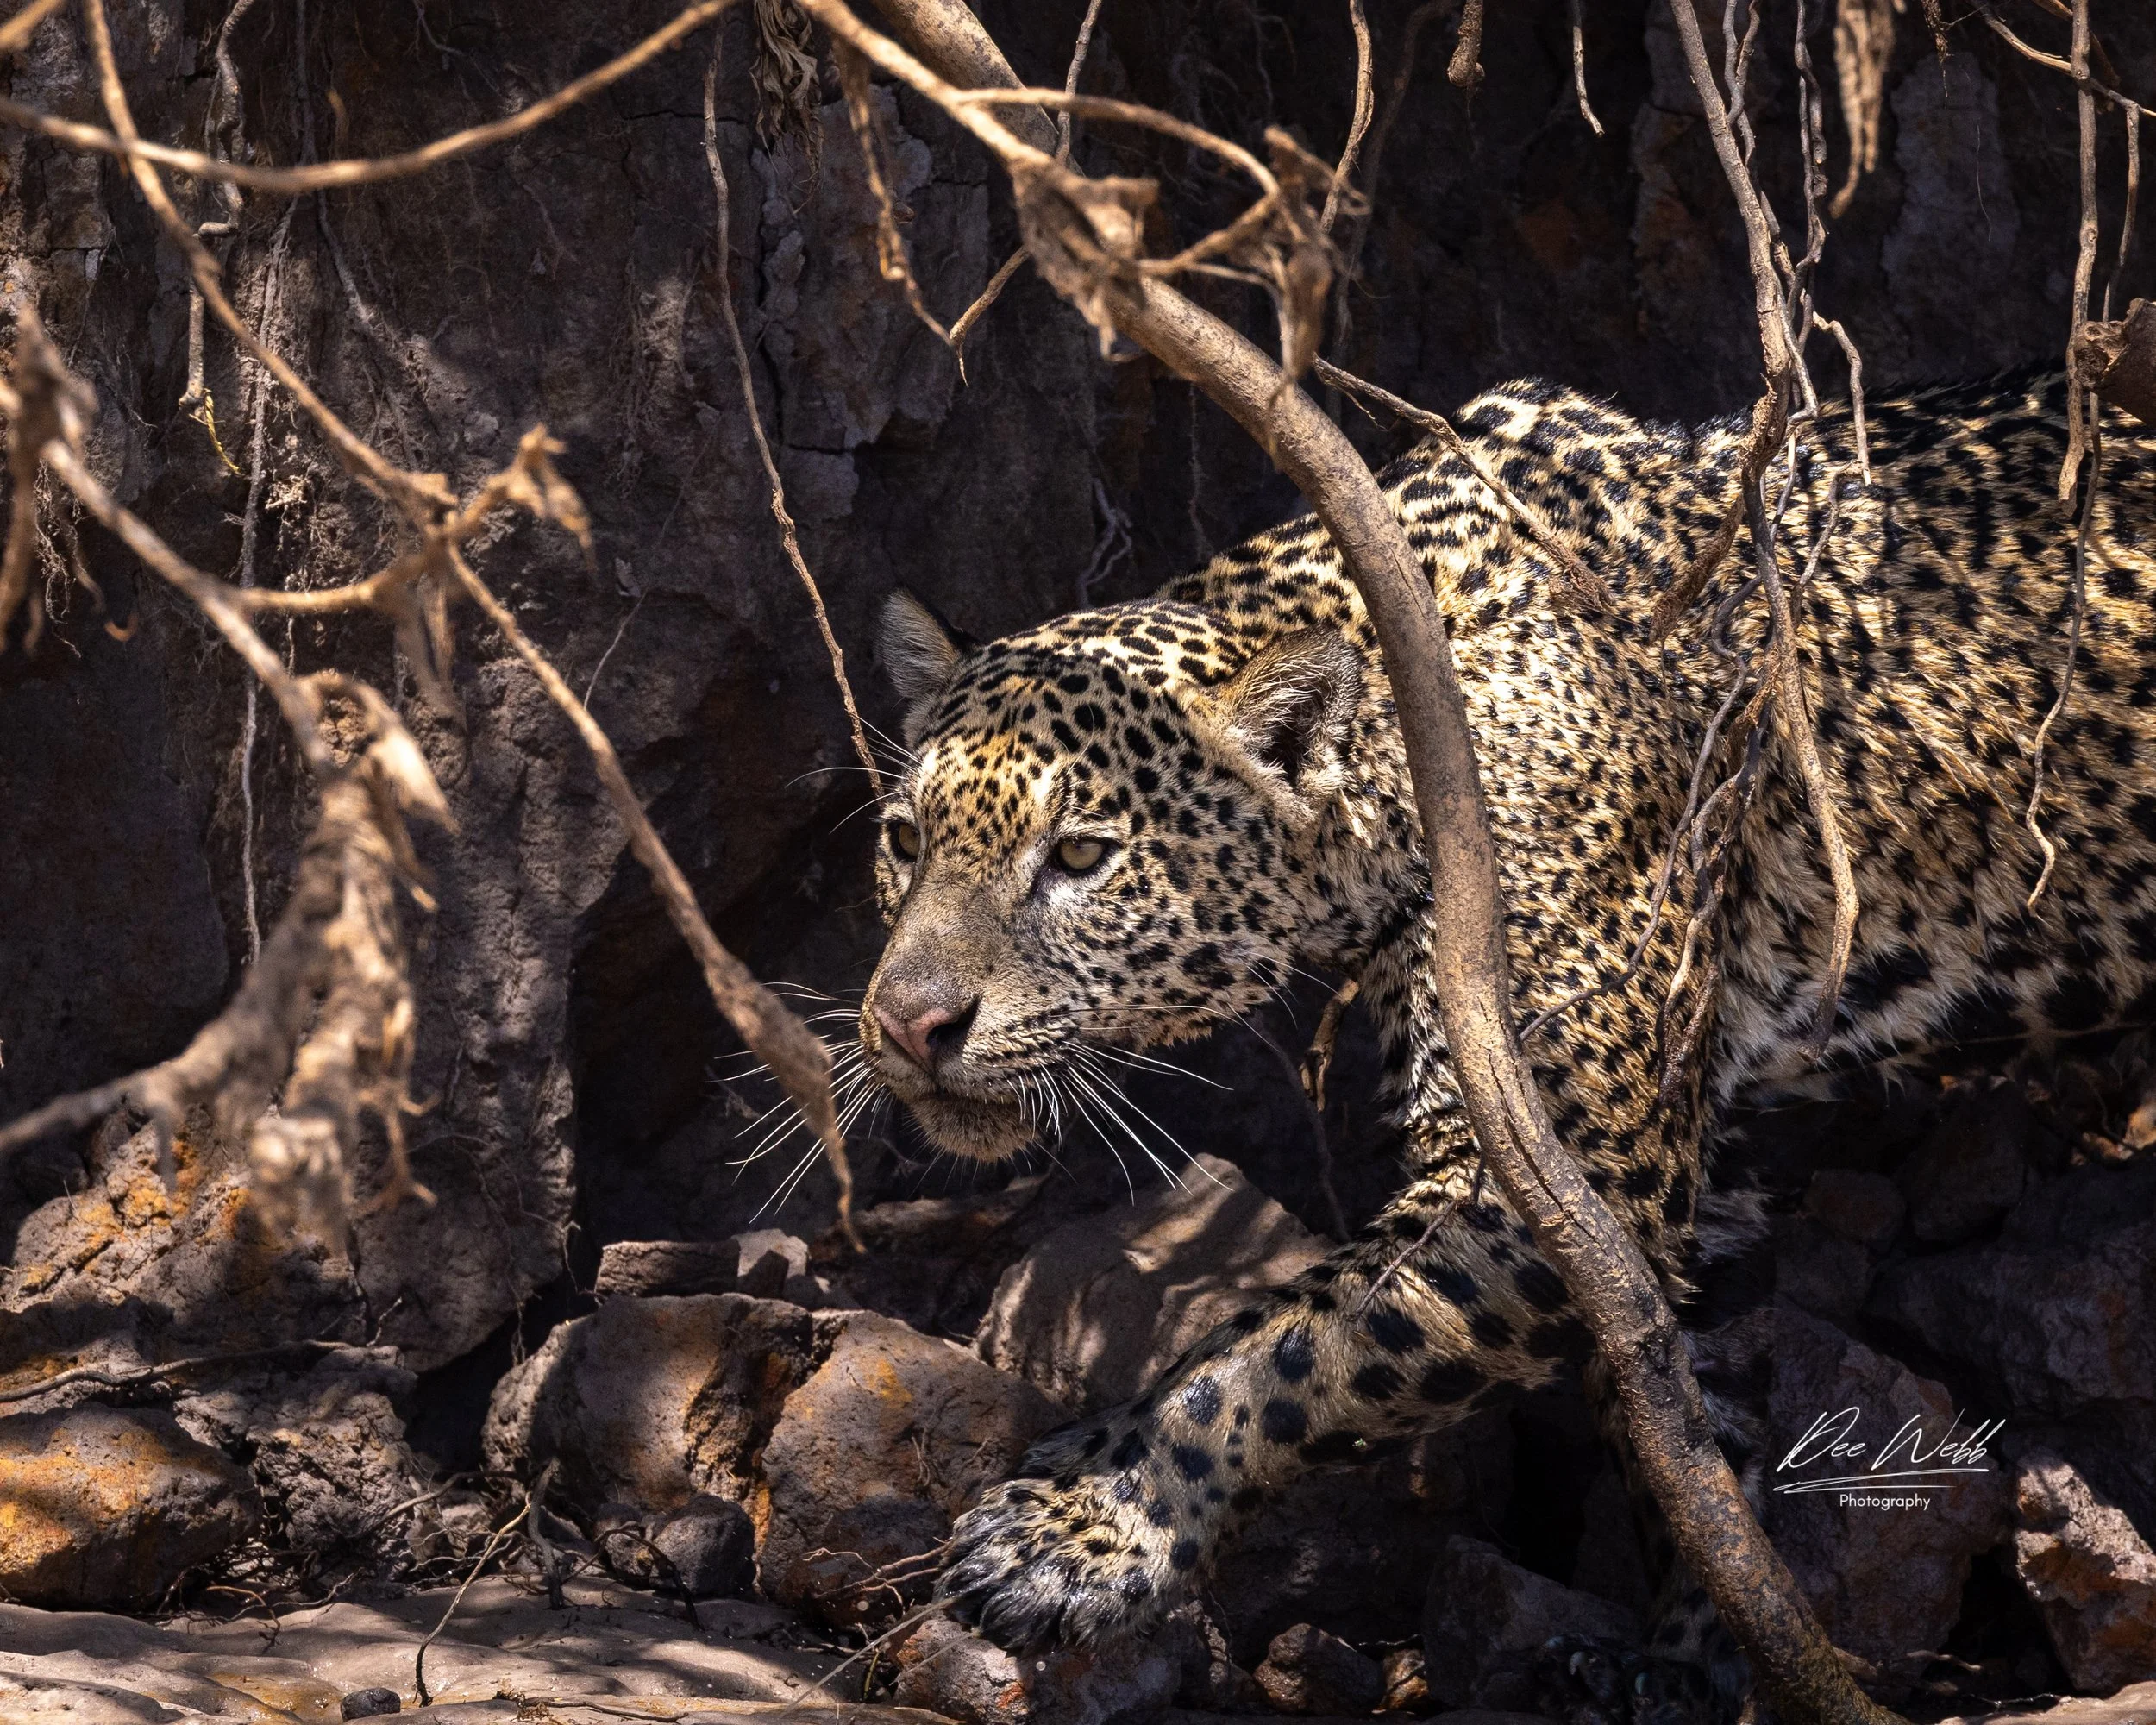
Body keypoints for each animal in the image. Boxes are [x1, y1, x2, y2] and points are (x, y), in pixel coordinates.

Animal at [851, 369, 2156, 1715]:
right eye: (905, 837)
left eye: (1080, 856)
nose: (908, 1021)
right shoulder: (1687, 1172)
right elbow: (1679, 1410)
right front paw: (1694, 1652)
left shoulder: (1563, 1169)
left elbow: (1274, 1347)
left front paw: (1086, 1525)